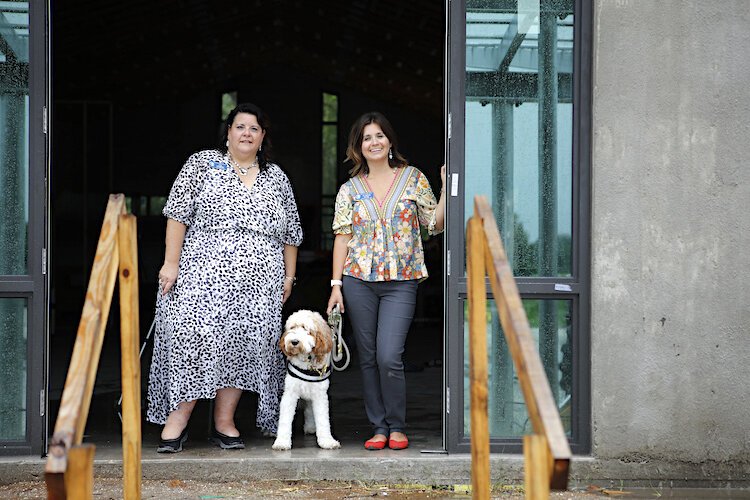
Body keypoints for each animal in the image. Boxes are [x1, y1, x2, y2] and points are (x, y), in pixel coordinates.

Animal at [274, 308, 340, 450]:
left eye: (306, 329)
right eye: (292, 327)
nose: (294, 341)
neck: (307, 361)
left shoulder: (320, 395)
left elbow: (323, 419)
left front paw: (327, 441)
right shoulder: (290, 393)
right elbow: (285, 419)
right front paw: (282, 441)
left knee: (309, 409)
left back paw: (310, 427)